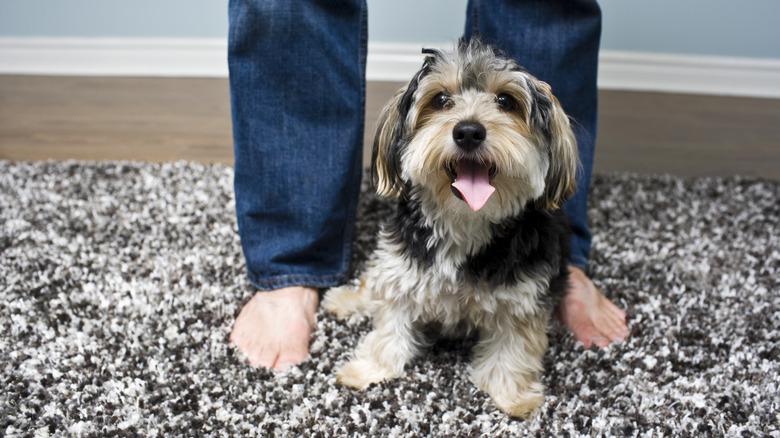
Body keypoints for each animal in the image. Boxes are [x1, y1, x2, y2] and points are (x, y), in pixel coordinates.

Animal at [324, 39, 580, 420]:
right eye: (441, 99)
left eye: (506, 101)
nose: (469, 131)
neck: (464, 222)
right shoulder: (402, 271)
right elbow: (389, 328)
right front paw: (369, 370)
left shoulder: (524, 298)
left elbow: (514, 350)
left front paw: (512, 396)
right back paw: (345, 299)